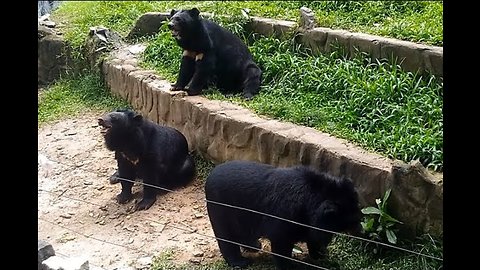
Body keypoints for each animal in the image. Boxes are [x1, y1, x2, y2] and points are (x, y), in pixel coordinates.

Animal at [204, 159, 362, 268]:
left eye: (357, 214)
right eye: (351, 220)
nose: (361, 230)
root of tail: (210, 177)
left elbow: (314, 238)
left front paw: (321, 255)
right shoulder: (285, 216)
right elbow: (281, 243)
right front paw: (291, 266)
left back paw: (254, 245)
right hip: (222, 208)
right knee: (226, 236)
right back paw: (240, 262)